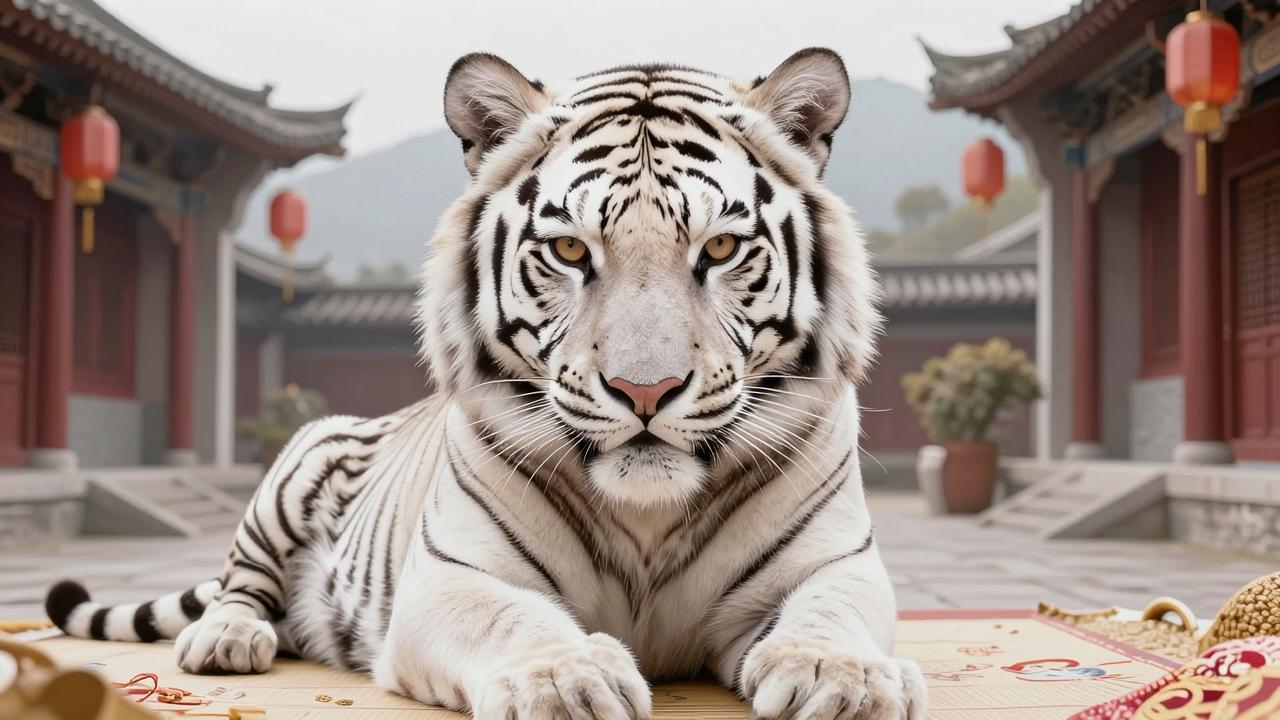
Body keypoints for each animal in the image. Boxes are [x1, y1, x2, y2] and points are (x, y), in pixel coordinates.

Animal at [46, 48, 926, 719]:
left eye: (718, 249)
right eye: (570, 251)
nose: (645, 392)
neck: (647, 521)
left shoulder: (834, 560)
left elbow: (830, 608)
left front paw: (840, 678)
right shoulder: (451, 576)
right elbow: (512, 619)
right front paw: (566, 679)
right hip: (298, 459)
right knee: (240, 583)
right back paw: (228, 638)